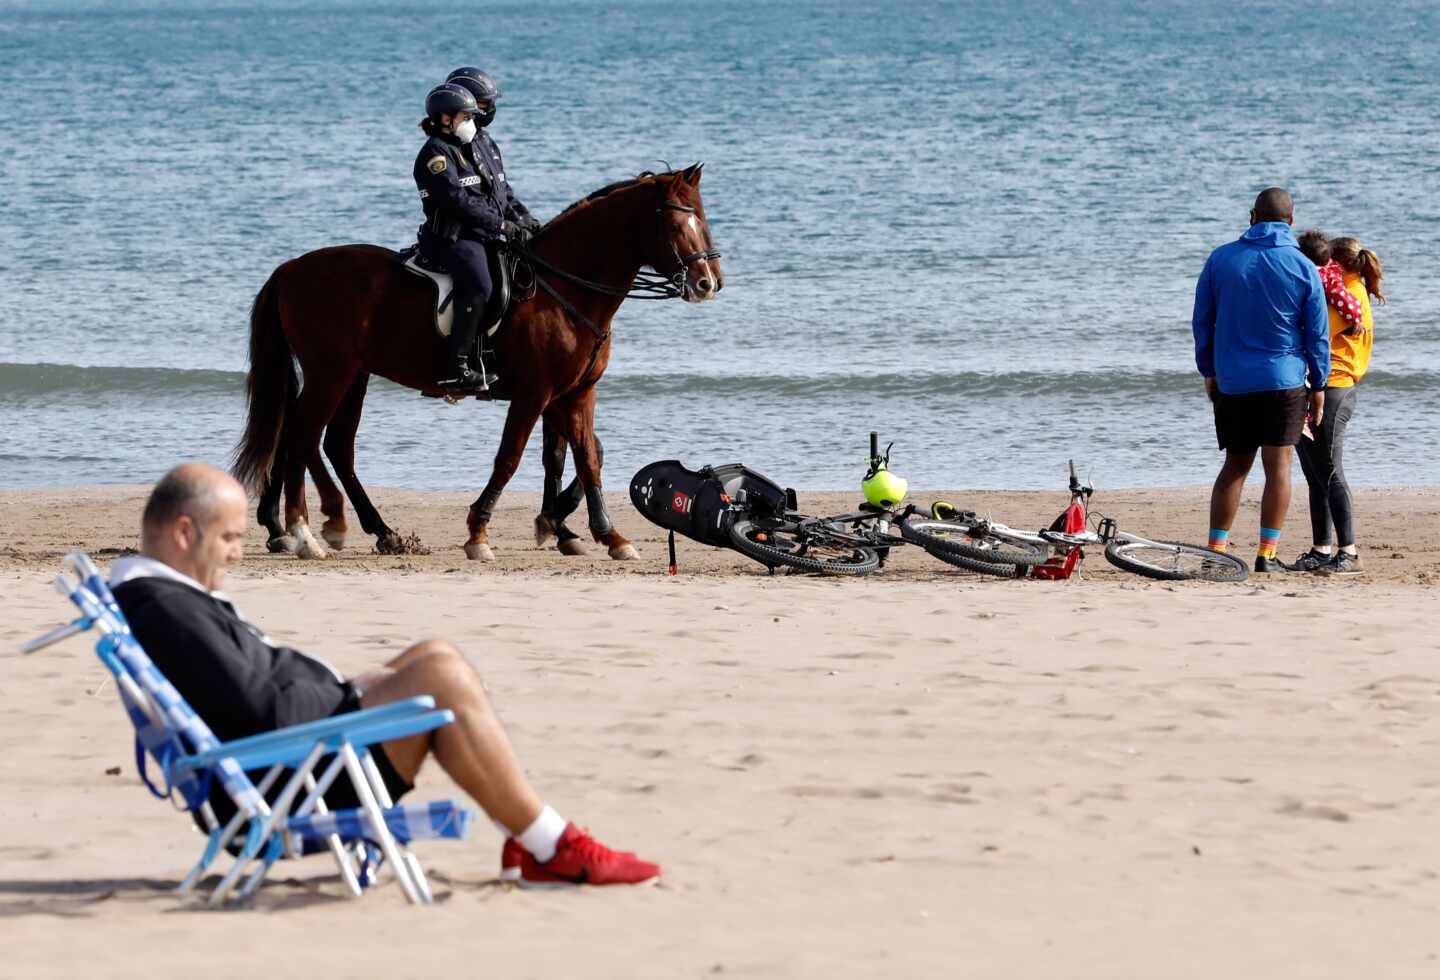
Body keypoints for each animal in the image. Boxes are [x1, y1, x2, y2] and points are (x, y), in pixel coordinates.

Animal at [233, 166, 720, 558]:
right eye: (675, 223)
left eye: (703, 218)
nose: (707, 281)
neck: (564, 290)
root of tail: (292, 268)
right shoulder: (535, 393)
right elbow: (511, 458)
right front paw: (480, 532)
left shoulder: (577, 392)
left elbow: (586, 457)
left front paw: (605, 535)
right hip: (331, 373)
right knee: (302, 436)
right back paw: (308, 530)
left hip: (353, 375)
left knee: (330, 443)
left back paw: (368, 530)